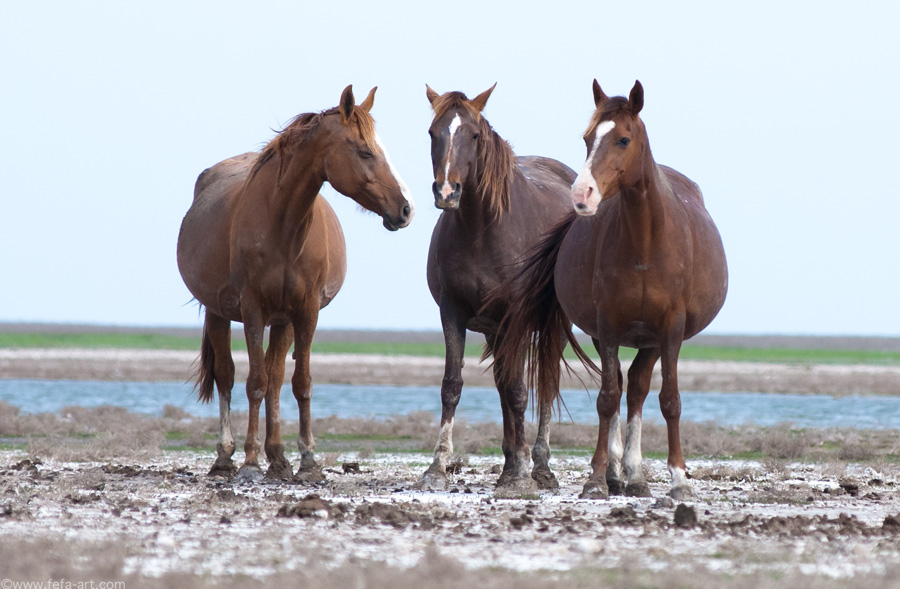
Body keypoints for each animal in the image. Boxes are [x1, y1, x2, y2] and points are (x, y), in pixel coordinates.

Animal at [177, 87, 414, 482]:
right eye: (365, 151)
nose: (406, 208)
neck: (283, 226)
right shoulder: (253, 310)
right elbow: (253, 383)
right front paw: (250, 461)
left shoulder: (306, 311)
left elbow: (300, 383)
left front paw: (307, 460)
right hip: (219, 313)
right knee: (227, 376)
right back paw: (227, 456)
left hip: (283, 320)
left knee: (275, 378)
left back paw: (278, 457)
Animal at [420, 81, 576, 486]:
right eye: (432, 132)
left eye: (474, 135)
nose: (447, 192)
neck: (481, 230)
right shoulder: (453, 315)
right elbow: (452, 386)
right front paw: (437, 467)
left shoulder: (515, 317)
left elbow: (520, 390)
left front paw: (521, 473)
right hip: (497, 330)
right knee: (504, 384)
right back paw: (510, 461)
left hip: (551, 326)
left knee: (544, 383)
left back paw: (539, 465)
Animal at [496, 80, 728, 498]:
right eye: (588, 138)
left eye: (623, 139)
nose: (582, 194)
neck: (646, 243)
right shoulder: (606, 327)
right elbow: (606, 399)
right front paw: (596, 477)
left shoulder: (671, 330)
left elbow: (670, 400)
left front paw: (679, 479)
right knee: (622, 387)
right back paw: (619, 473)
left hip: (651, 340)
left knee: (636, 388)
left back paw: (634, 474)